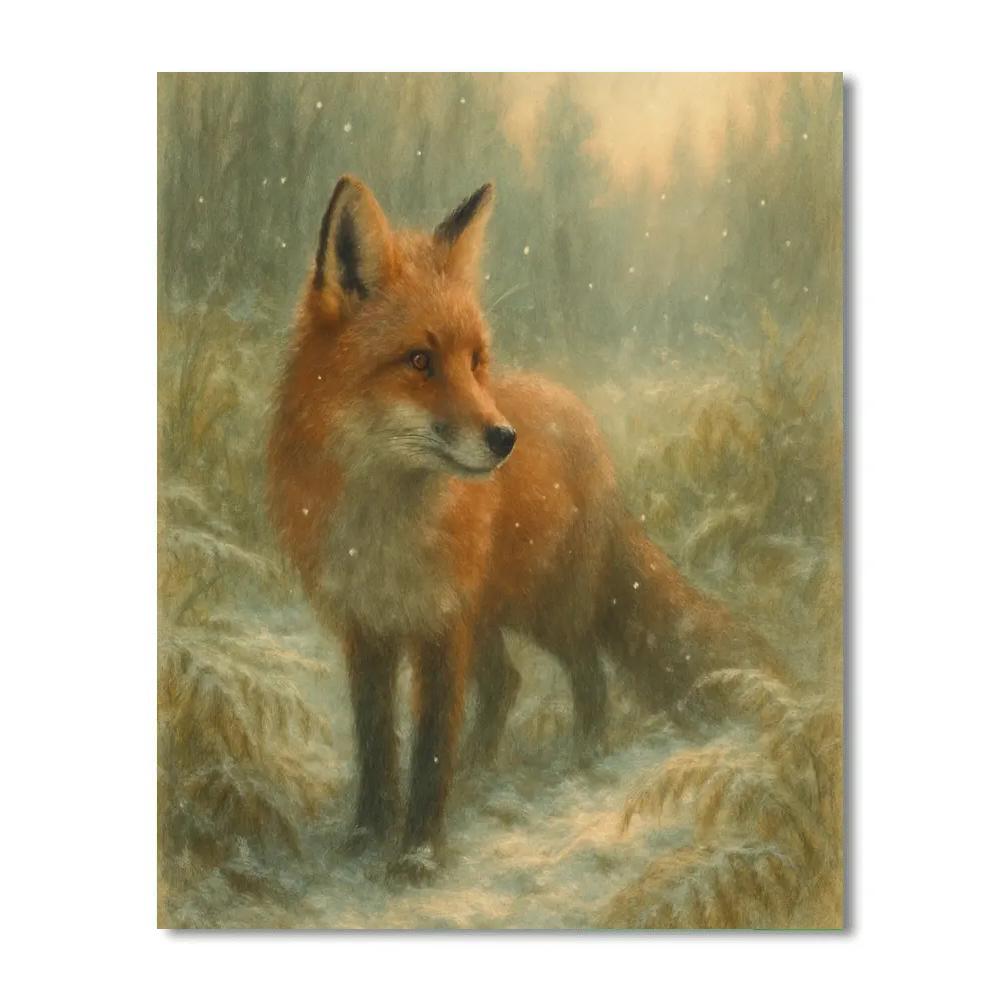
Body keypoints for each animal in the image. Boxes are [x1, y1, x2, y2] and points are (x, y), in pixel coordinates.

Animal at [268, 175, 776, 882]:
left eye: (476, 360)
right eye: (419, 360)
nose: (505, 439)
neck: (385, 527)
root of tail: (589, 429)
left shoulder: (439, 625)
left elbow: (429, 749)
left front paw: (418, 856)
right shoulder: (366, 627)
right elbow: (374, 744)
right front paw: (367, 839)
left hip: (545, 607)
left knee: (589, 674)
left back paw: (584, 757)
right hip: (489, 614)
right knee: (506, 684)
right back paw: (483, 769)